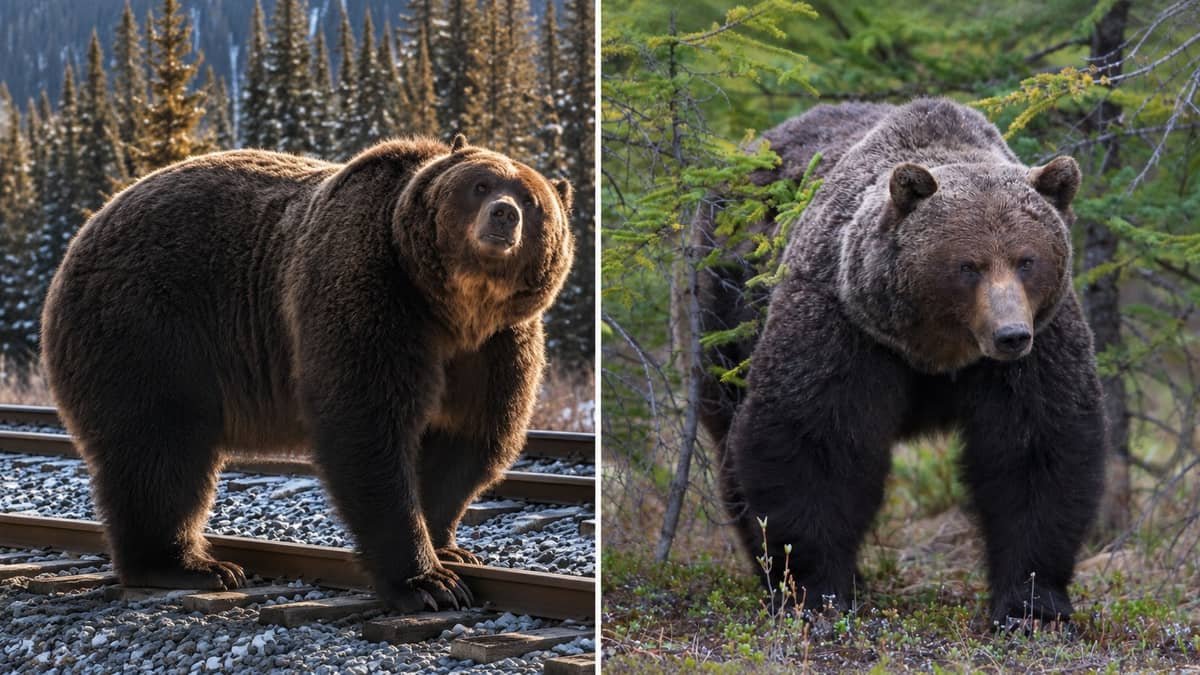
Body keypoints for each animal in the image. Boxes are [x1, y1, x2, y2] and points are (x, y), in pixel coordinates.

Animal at [40, 134, 575, 613]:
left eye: (532, 199)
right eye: (480, 185)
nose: (505, 214)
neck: (454, 307)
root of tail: (87, 229)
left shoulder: (494, 348)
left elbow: (468, 441)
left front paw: (451, 551)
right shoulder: (373, 295)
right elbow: (367, 430)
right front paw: (428, 583)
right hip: (147, 328)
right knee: (160, 450)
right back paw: (191, 566)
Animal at [697, 99, 1106, 627]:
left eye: (1026, 260)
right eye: (968, 265)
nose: (1011, 335)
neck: (934, 348)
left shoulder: (1039, 345)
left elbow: (1036, 449)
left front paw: (1033, 604)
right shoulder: (845, 325)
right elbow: (813, 440)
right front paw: (817, 590)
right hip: (723, 312)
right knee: (730, 435)